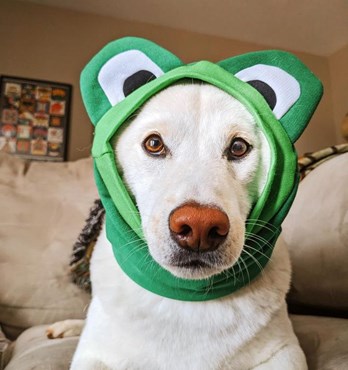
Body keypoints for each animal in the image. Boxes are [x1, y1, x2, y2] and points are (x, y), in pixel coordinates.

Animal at [47, 83, 308, 370]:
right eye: (154, 144)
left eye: (239, 147)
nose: (200, 227)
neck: (186, 295)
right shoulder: (94, 354)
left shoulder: (285, 351)